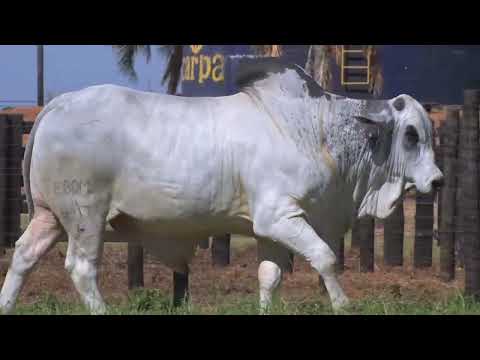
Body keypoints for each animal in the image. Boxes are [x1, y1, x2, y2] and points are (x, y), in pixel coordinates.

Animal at [0, 58, 442, 312]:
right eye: (410, 135)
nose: (437, 180)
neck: (317, 129)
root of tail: (57, 104)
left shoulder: (270, 229)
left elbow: (269, 276)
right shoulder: (281, 217)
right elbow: (325, 258)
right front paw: (343, 304)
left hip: (49, 216)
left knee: (23, 256)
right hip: (85, 215)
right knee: (81, 268)